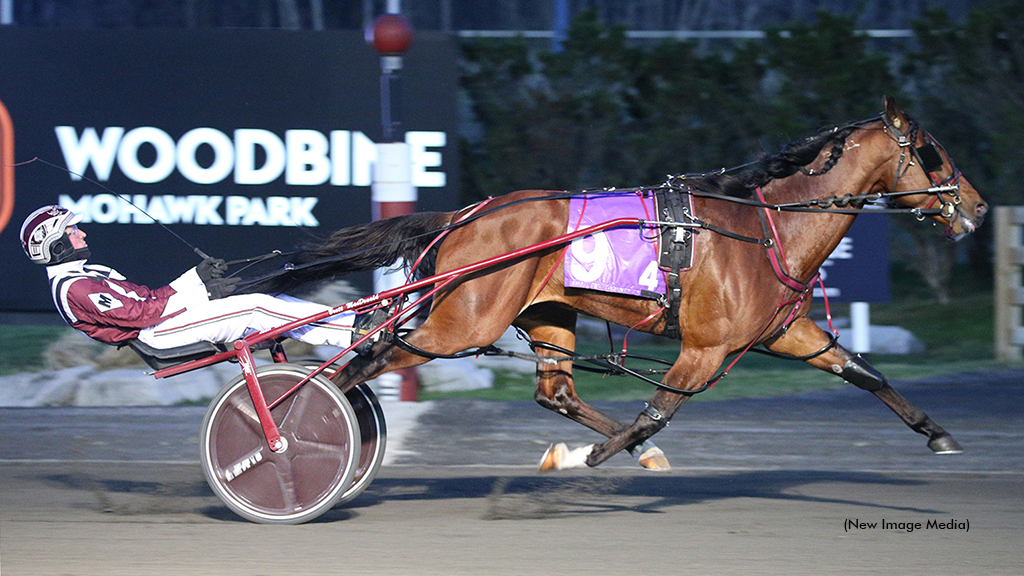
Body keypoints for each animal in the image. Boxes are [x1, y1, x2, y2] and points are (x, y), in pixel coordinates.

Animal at [247, 95, 983, 471]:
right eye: (932, 153)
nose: (973, 207)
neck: (767, 226)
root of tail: (465, 215)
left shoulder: (787, 331)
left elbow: (864, 371)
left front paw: (937, 433)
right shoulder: (705, 348)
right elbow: (658, 410)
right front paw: (605, 452)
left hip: (546, 314)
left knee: (555, 391)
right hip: (463, 322)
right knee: (367, 359)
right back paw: (293, 436)